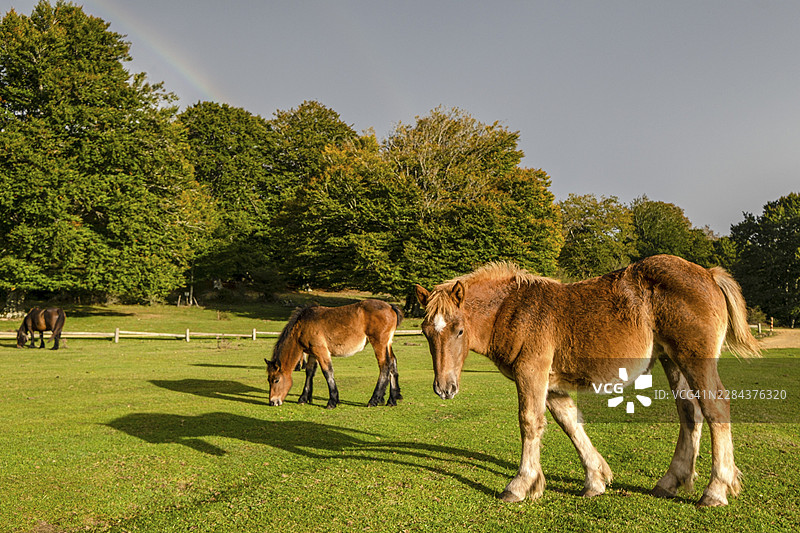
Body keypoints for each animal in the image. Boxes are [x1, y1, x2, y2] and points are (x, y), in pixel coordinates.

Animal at [266, 299, 403, 409]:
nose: (272, 402)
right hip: (387, 344)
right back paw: (392, 399)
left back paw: (374, 400)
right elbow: (309, 372)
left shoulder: (321, 351)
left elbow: (328, 372)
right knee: (393, 363)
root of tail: (390, 307)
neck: (303, 325)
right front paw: (304, 398)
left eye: (276, 380)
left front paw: (332, 401)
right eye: (269, 380)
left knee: (385, 366)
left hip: (379, 344)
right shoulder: (313, 354)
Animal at [414, 255, 760, 507]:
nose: (444, 388)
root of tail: (709, 274)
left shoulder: (531, 372)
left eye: (459, 329)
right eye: (426, 331)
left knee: (715, 407)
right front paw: (595, 480)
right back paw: (669, 482)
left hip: (694, 359)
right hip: (671, 360)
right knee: (690, 412)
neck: (514, 309)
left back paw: (716, 490)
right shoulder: (551, 385)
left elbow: (529, 422)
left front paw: (520, 485)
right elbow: (570, 423)